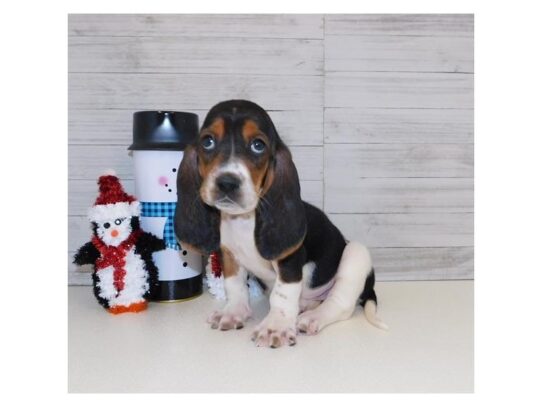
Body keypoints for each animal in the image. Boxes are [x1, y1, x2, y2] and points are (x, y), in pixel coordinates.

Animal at [174, 98, 386, 348]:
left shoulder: (289, 260)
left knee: (340, 304)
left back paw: (313, 317)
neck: (243, 220)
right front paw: (233, 312)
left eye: (258, 145)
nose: (227, 183)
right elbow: (235, 286)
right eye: (207, 141)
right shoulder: (229, 255)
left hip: (355, 255)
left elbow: (282, 295)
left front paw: (275, 326)